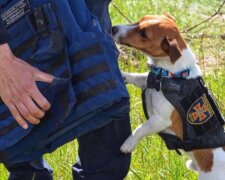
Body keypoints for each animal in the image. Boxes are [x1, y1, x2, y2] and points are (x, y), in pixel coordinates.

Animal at [112, 13, 225, 179]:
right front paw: (123, 75)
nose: (113, 28)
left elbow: (140, 128)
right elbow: (138, 77)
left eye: (143, 33)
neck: (170, 75)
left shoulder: (160, 120)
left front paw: (129, 143)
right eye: (140, 19)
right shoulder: (148, 79)